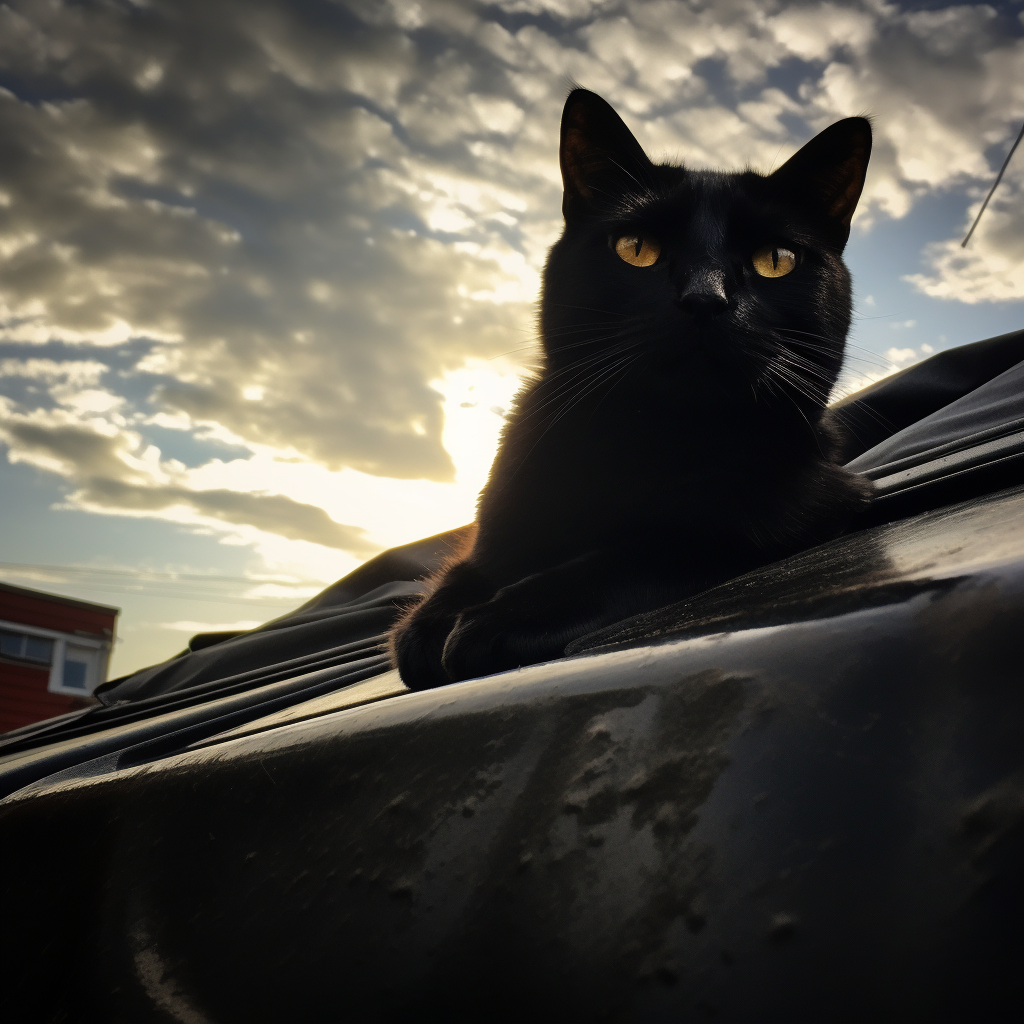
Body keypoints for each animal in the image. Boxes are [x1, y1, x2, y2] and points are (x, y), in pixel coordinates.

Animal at [391, 88, 872, 688]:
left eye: (776, 261)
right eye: (636, 248)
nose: (705, 298)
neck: (641, 444)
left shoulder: (803, 507)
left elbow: (638, 553)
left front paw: (497, 618)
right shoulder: (497, 528)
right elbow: (465, 573)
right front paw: (431, 625)